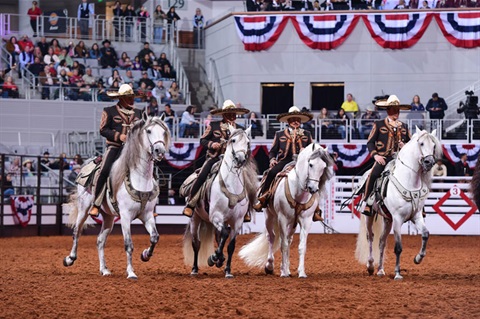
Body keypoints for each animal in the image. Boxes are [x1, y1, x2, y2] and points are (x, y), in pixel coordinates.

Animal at [62, 115, 170, 280]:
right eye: (149, 131)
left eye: (163, 131)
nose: (160, 151)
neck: (140, 179)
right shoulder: (125, 216)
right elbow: (128, 244)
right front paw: (131, 272)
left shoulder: (147, 215)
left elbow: (154, 237)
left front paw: (145, 255)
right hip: (84, 209)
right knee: (76, 232)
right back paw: (70, 259)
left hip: (108, 217)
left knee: (100, 241)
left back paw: (104, 270)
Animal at [183, 126, 258, 278]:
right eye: (233, 140)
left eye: (247, 142)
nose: (240, 159)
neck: (231, 186)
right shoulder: (216, 216)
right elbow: (224, 234)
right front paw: (214, 257)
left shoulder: (237, 222)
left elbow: (230, 245)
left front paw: (227, 270)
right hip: (195, 218)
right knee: (196, 243)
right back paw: (194, 269)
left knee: (218, 237)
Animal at [239, 144, 334, 278]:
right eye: (310, 164)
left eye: (324, 167)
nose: (313, 188)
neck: (298, 193)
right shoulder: (282, 219)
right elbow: (283, 244)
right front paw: (283, 272)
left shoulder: (306, 221)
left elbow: (301, 246)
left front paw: (301, 272)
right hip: (269, 216)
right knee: (271, 237)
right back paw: (270, 266)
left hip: (292, 223)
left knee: (289, 240)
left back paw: (287, 269)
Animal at [354, 127, 440, 280]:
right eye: (422, 143)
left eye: (434, 145)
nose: (429, 162)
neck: (408, 182)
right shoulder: (398, 219)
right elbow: (398, 247)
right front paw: (398, 273)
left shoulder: (416, 216)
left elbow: (425, 234)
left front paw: (418, 258)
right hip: (369, 216)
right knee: (370, 237)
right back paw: (370, 266)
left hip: (387, 220)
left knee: (381, 242)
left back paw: (380, 270)